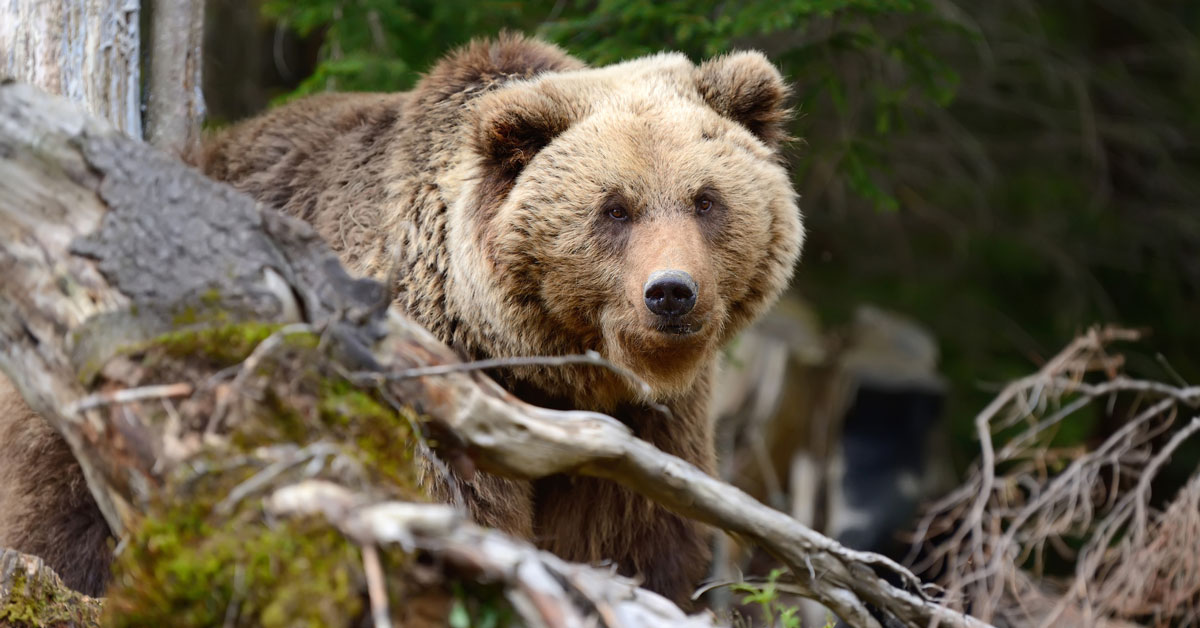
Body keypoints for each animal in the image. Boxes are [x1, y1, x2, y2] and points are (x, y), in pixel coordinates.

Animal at [0, 33, 803, 605]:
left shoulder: (648, 422)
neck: (543, 364)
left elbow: (638, 530)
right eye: (615, 208)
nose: (670, 293)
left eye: (705, 199)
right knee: (59, 505)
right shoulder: (427, 376)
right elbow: (446, 501)